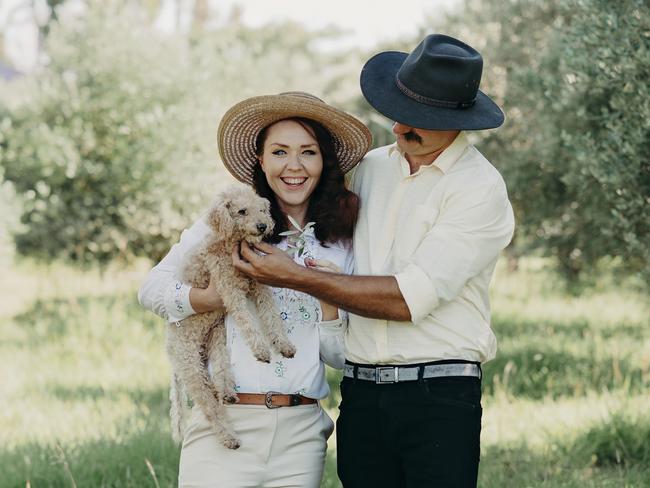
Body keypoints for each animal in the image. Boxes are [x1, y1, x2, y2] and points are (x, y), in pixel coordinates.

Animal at [167, 184, 298, 450]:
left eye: (261, 209)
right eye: (242, 211)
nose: (262, 226)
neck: (231, 245)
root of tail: (169, 347)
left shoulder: (259, 285)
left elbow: (271, 315)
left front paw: (283, 344)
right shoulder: (229, 290)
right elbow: (248, 321)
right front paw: (262, 350)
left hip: (216, 336)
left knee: (221, 370)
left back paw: (227, 392)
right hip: (191, 366)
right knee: (210, 408)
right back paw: (229, 438)